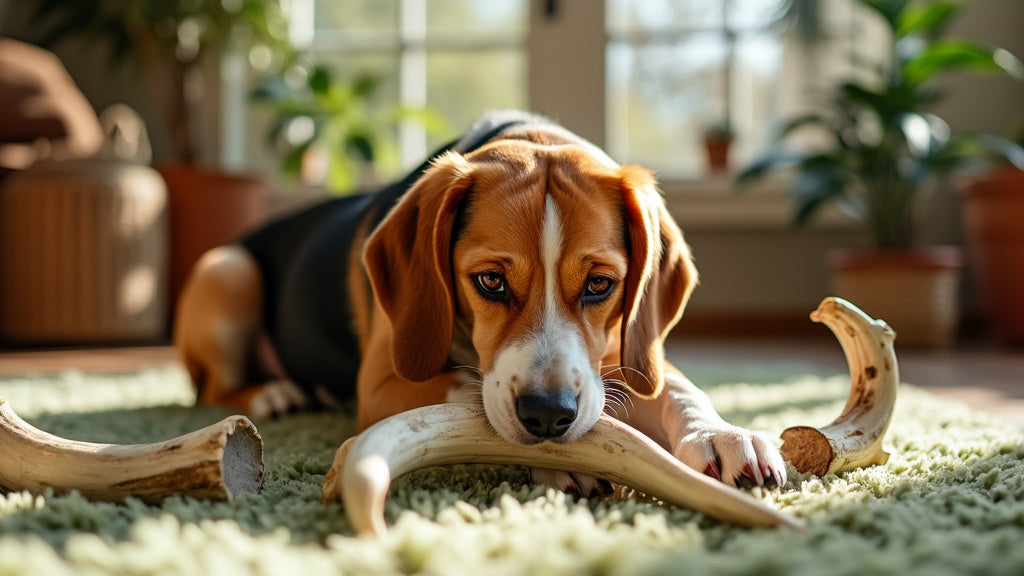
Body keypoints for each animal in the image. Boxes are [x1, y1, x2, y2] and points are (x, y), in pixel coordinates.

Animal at [174, 111, 782, 487]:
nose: (549, 416)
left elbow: (678, 387)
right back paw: (273, 393)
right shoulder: (382, 386)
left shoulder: (623, 355)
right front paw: (566, 464)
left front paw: (723, 435)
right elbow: (468, 395)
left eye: (600, 285)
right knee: (212, 386)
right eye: (490, 281)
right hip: (229, 271)